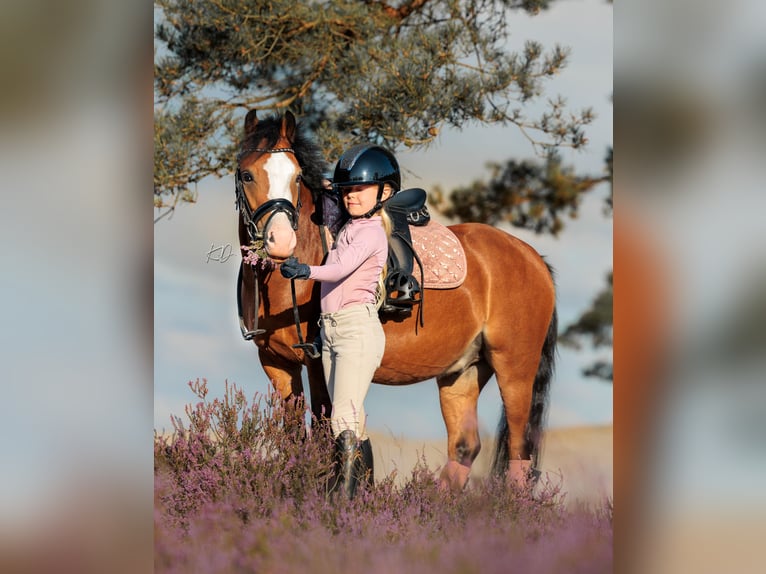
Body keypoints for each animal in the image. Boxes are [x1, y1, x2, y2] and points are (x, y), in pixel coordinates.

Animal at [234, 110, 557, 490]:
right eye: (246, 174)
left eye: (297, 176)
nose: (281, 242)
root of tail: (532, 258)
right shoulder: (277, 365)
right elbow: (294, 439)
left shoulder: (319, 365)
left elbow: (327, 438)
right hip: (463, 372)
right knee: (464, 446)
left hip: (515, 371)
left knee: (520, 450)